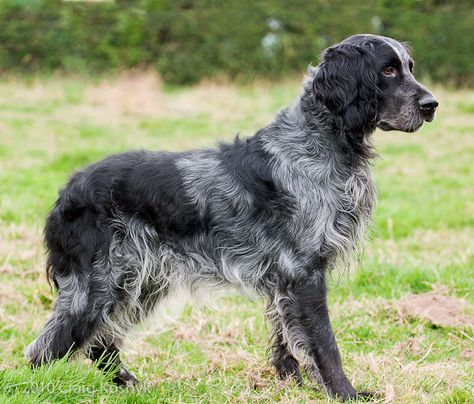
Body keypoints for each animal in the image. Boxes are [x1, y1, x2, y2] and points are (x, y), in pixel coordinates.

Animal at [27, 34, 436, 398]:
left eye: (409, 67)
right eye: (387, 70)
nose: (432, 104)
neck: (320, 140)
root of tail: (69, 191)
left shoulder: (283, 280)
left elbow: (287, 338)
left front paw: (293, 384)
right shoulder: (304, 273)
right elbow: (324, 344)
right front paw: (345, 393)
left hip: (141, 282)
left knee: (97, 343)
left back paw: (129, 384)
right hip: (97, 287)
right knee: (43, 350)